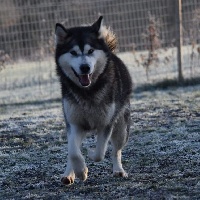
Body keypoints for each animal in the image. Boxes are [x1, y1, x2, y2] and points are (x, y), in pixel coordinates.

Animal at [54, 16, 133, 185]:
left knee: (116, 150)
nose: (85, 67)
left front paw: (90, 154)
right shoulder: (75, 124)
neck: (87, 92)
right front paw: (80, 171)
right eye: (73, 52)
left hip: (122, 128)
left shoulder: (106, 123)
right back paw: (68, 174)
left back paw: (118, 170)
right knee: (71, 151)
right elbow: (73, 151)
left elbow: (99, 153)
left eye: (90, 51)